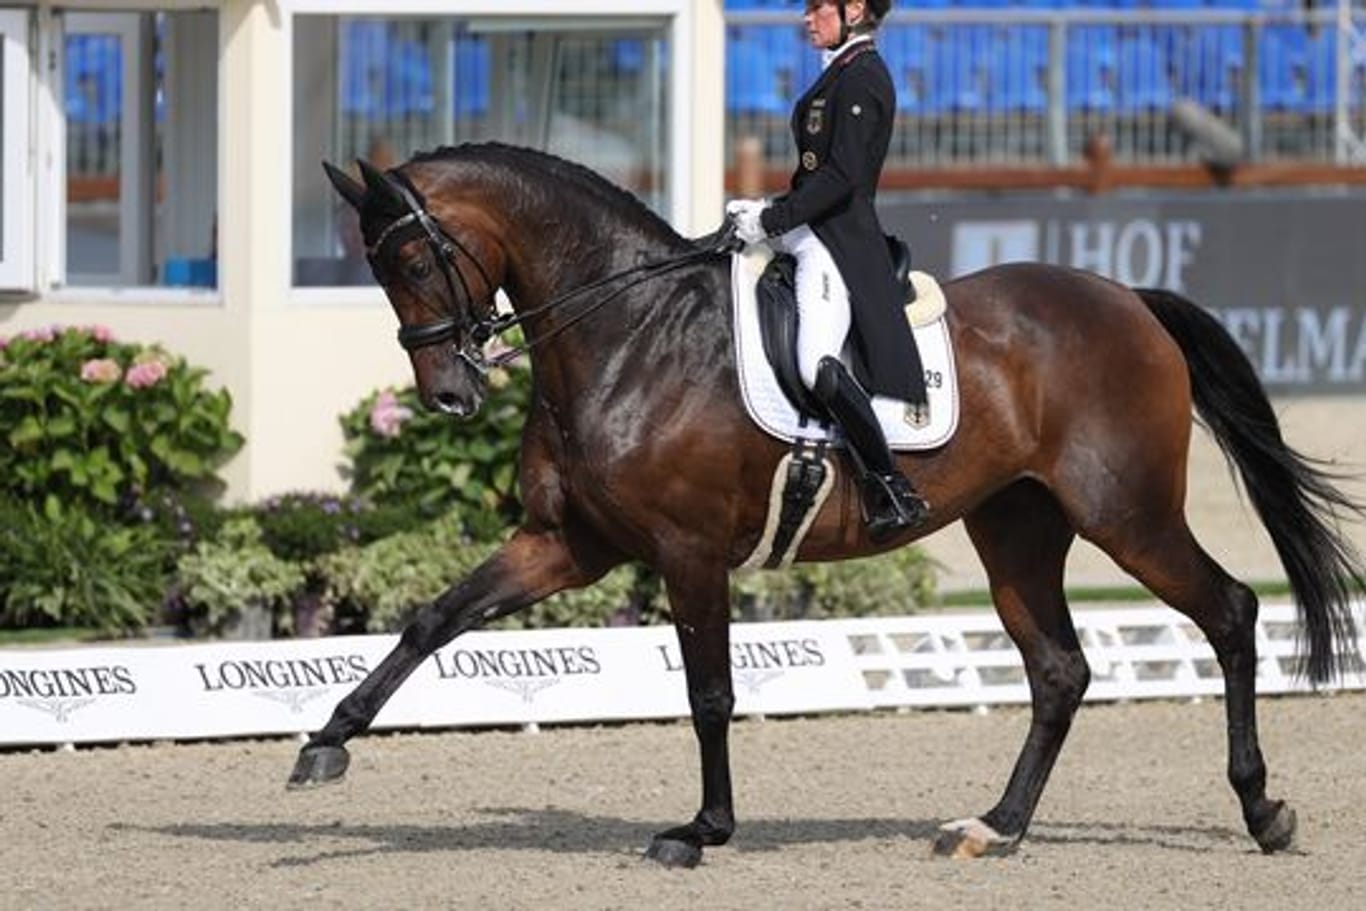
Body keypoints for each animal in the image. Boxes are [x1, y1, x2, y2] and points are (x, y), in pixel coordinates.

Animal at [290, 142, 1366, 868]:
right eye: (375, 269)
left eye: (415, 261)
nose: (449, 396)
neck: (627, 332)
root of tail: (1128, 299)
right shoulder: (565, 543)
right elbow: (434, 617)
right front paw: (325, 742)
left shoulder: (686, 551)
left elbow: (710, 693)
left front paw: (701, 829)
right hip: (1016, 529)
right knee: (1061, 671)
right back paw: (995, 827)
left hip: (1127, 515)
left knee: (1229, 611)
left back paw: (1263, 812)